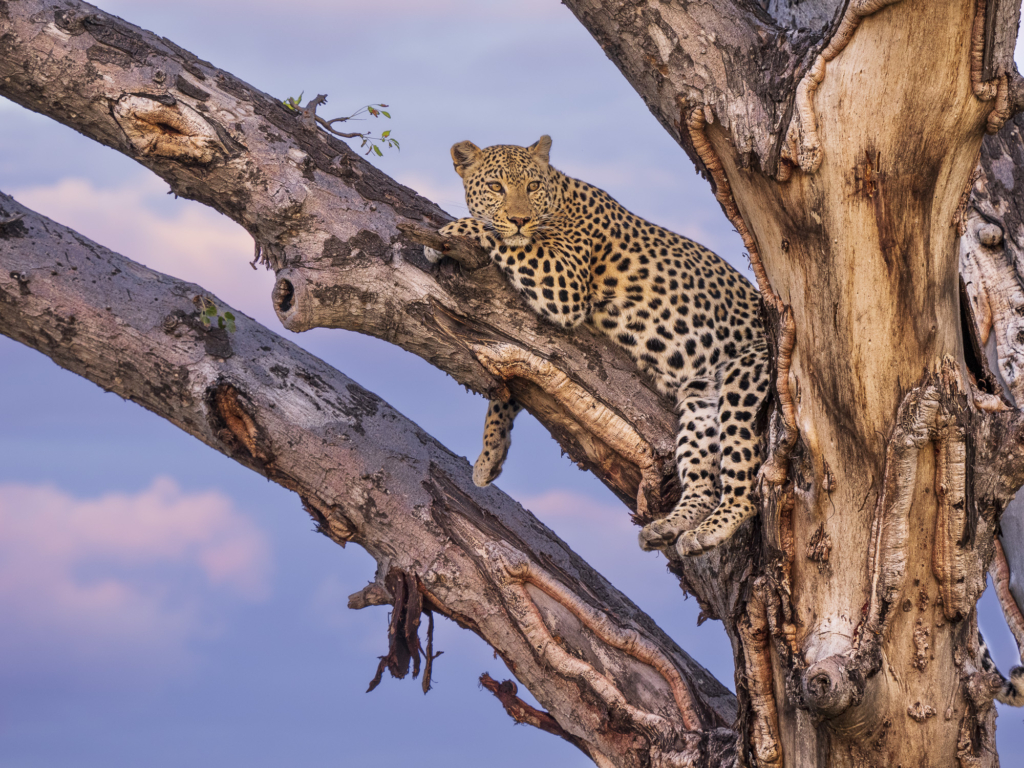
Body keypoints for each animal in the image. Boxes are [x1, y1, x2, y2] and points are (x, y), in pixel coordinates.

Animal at [423, 137, 770, 561]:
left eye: (531, 187)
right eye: (495, 187)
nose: (520, 218)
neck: (558, 195)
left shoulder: (563, 280)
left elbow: (505, 238)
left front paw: (451, 231)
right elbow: (508, 387)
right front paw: (490, 456)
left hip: (746, 374)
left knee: (744, 488)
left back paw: (714, 527)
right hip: (700, 396)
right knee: (702, 482)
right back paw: (674, 526)